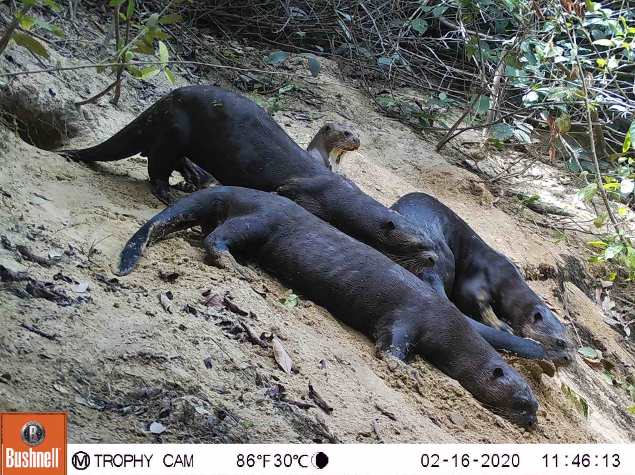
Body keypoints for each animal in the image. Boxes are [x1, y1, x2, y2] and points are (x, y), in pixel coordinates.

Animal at [59, 85, 438, 276]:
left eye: (433, 242)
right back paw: (168, 193)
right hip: (175, 129)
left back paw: (195, 178)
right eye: (419, 245)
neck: (341, 197)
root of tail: (161, 101)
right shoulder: (304, 196)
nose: (435, 260)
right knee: (156, 166)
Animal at [117, 186, 540, 428]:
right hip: (259, 221)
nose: (534, 423)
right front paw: (405, 370)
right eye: (523, 402)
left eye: (536, 407)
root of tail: (235, 191)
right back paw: (234, 264)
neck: (449, 324)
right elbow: (392, 343)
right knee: (216, 237)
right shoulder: (412, 317)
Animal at [390, 192, 580, 366]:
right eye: (560, 342)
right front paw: (502, 326)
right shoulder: (484, 277)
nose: (568, 359)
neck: (507, 281)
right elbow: (475, 299)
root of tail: (430, 272)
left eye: (573, 347)